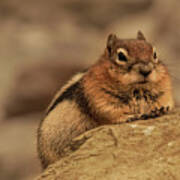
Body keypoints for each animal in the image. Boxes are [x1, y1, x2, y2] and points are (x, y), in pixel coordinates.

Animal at [37, 31, 174, 169]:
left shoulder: (164, 92)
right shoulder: (99, 98)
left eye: (155, 53)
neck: (137, 89)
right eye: (121, 56)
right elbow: (109, 112)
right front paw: (130, 116)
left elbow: (165, 103)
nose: (146, 70)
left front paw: (159, 110)